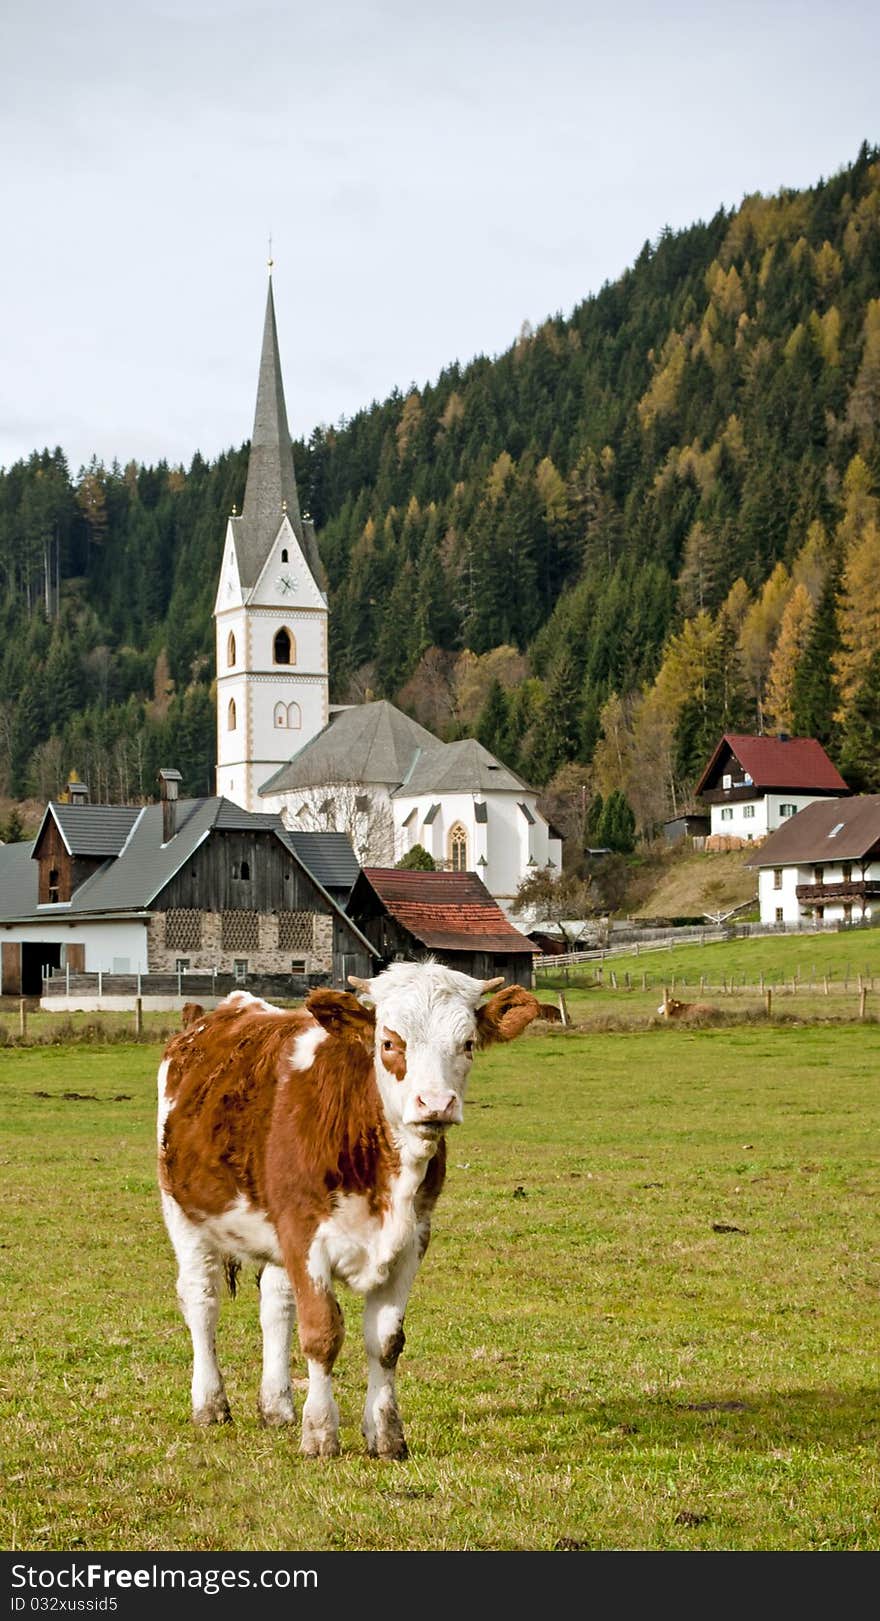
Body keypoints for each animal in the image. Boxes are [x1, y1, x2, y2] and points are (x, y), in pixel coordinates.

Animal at [157, 959, 557, 1458]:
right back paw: (211, 1405)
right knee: (201, 1301)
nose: (436, 1103)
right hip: (184, 1213)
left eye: (467, 1044)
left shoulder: (412, 1240)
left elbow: (386, 1342)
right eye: (389, 1042)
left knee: (275, 1305)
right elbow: (322, 1334)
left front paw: (386, 1436)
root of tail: (219, 1011)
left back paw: (277, 1407)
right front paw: (320, 1434)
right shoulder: (303, 1234)